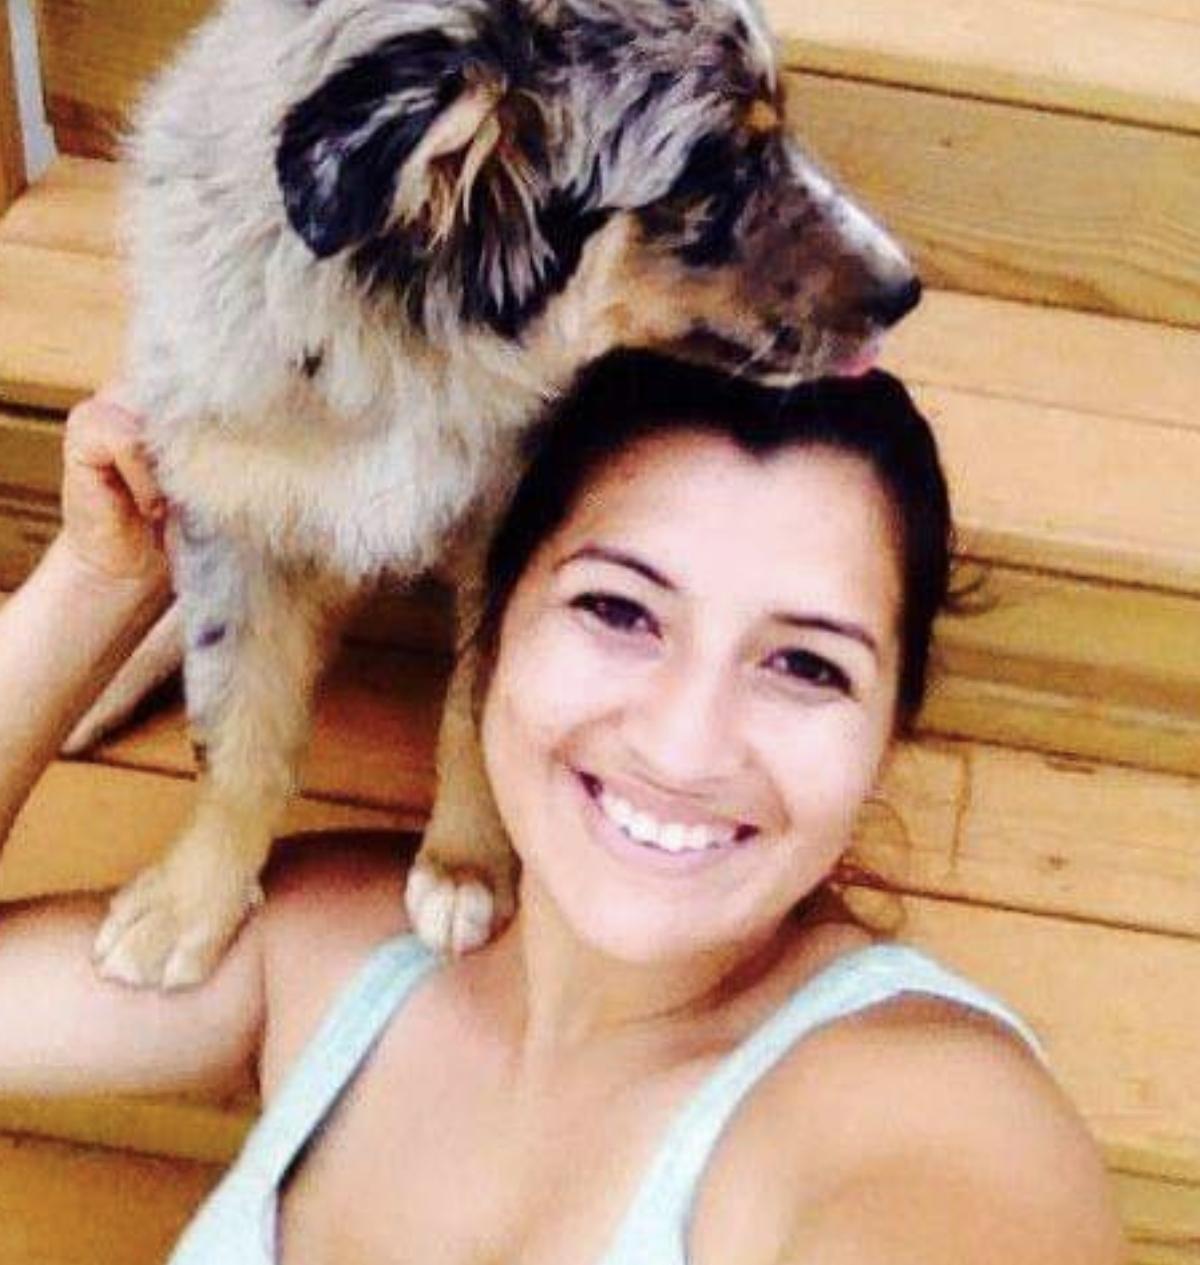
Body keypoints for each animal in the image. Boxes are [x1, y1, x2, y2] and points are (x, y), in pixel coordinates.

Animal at [88, 0, 921, 989]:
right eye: (716, 166)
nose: (908, 287)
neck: (405, 359)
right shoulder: (232, 513)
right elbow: (236, 725)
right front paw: (189, 903)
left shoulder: (516, 522)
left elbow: (480, 704)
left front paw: (465, 866)